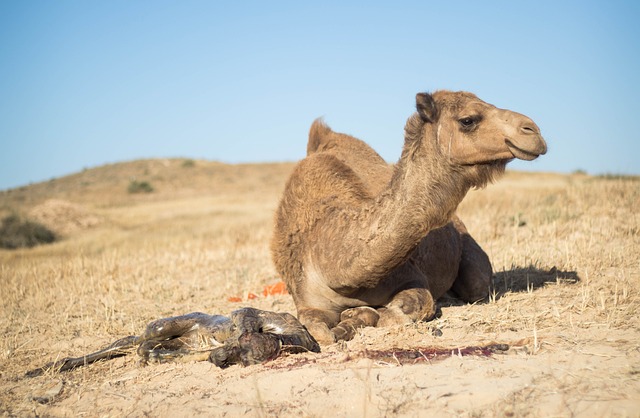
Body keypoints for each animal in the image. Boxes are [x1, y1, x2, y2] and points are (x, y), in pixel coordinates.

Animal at [270, 90, 544, 344]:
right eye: (468, 120)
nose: (533, 131)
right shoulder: (307, 300)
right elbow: (320, 332)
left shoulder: (411, 278)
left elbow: (399, 311)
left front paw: (355, 317)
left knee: (475, 285)